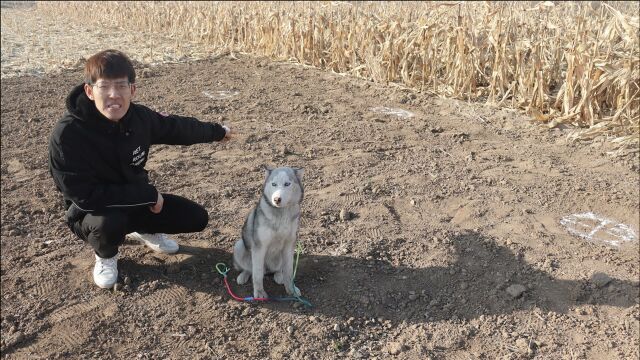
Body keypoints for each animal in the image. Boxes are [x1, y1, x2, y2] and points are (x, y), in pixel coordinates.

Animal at [232, 166, 304, 298]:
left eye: (287, 184)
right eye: (273, 184)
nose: (277, 199)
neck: (281, 215)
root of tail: (268, 269)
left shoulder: (289, 245)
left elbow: (288, 271)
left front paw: (291, 289)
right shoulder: (259, 247)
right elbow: (257, 274)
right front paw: (259, 293)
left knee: (278, 269)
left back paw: (279, 275)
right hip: (239, 246)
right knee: (250, 269)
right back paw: (243, 276)